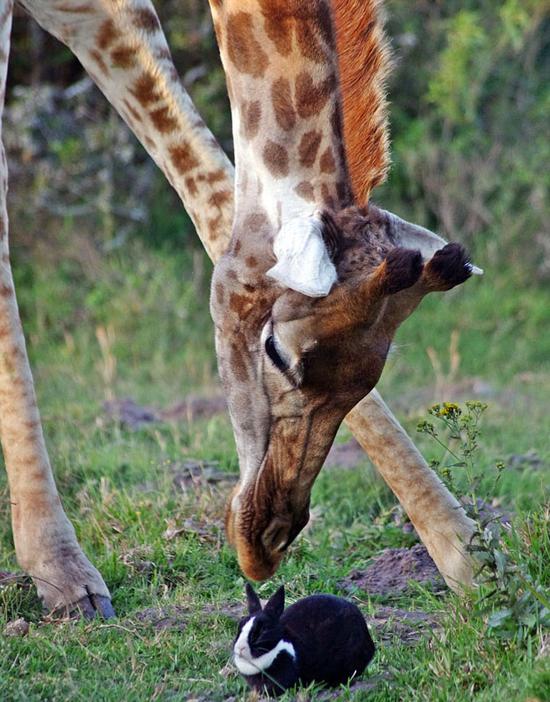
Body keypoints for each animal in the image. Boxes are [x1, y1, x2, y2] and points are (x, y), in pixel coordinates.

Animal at [0, 0, 480, 616]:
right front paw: (64, 574)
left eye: (369, 378)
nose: (264, 543)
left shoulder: (98, 14)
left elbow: (214, 191)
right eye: (274, 351)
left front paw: (472, 558)